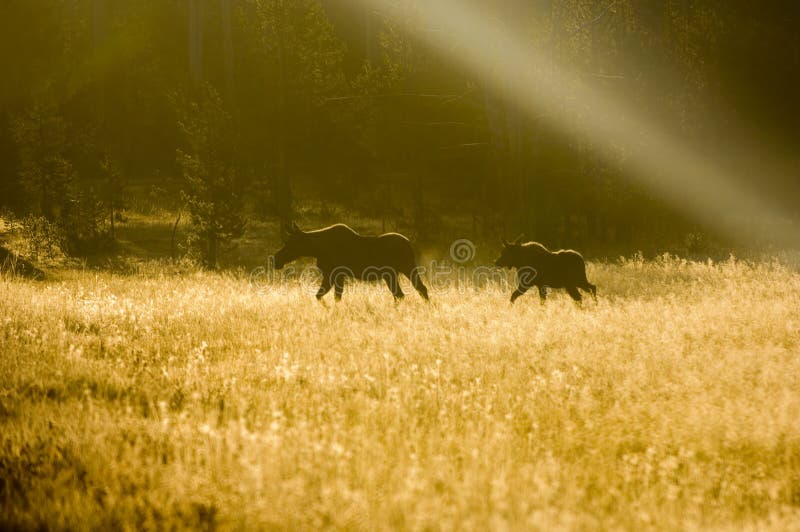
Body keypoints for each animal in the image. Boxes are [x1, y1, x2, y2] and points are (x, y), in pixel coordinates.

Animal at [272, 222, 428, 302]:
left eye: (290, 243)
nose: (276, 258)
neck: (317, 249)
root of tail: (410, 244)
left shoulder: (335, 274)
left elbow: (329, 296)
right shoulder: (333, 275)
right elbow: (324, 296)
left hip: (402, 269)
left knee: (408, 292)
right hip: (395, 273)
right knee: (408, 292)